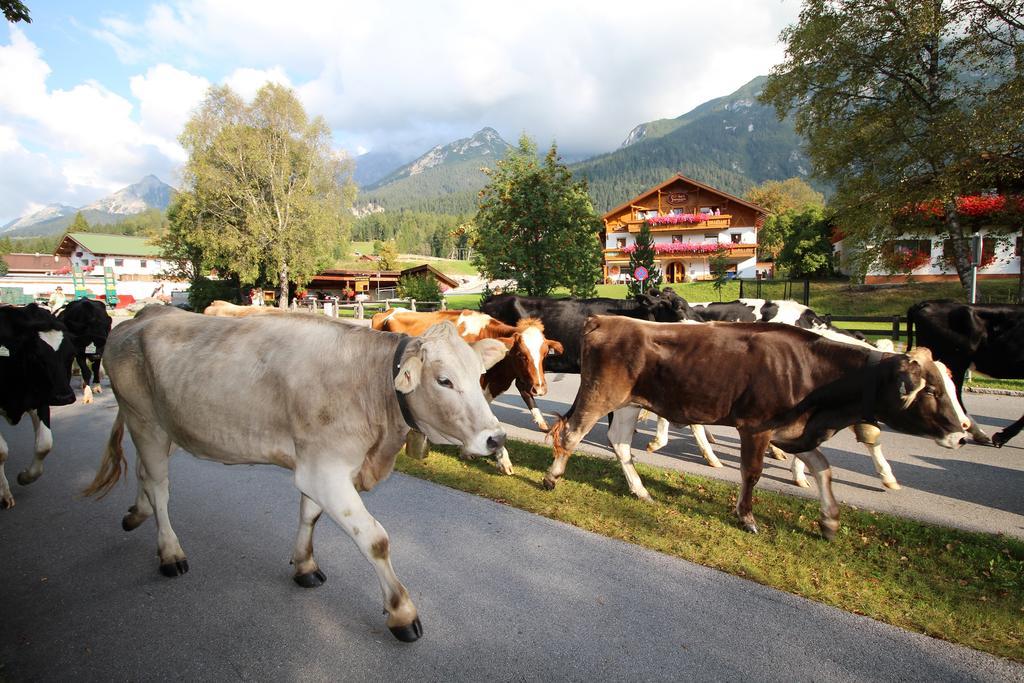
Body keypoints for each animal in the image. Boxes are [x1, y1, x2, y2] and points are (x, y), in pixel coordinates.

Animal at [0, 305, 76, 507]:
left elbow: (44, 444)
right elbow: (2, 451)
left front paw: (25, 476)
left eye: (71, 354)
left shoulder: (40, 400)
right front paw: (4, 493)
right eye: (35, 356)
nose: (64, 396)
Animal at [548, 319, 970, 540]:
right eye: (931, 390)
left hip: (628, 405)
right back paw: (553, 477)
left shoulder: (793, 431)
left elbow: (824, 470)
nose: (963, 432)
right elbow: (752, 473)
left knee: (619, 444)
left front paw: (829, 521)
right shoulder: (757, 426)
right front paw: (747, 517)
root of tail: (605, 320)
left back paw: (641, 492)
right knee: (571, 433)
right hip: (601, 395)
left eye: (950, 385)